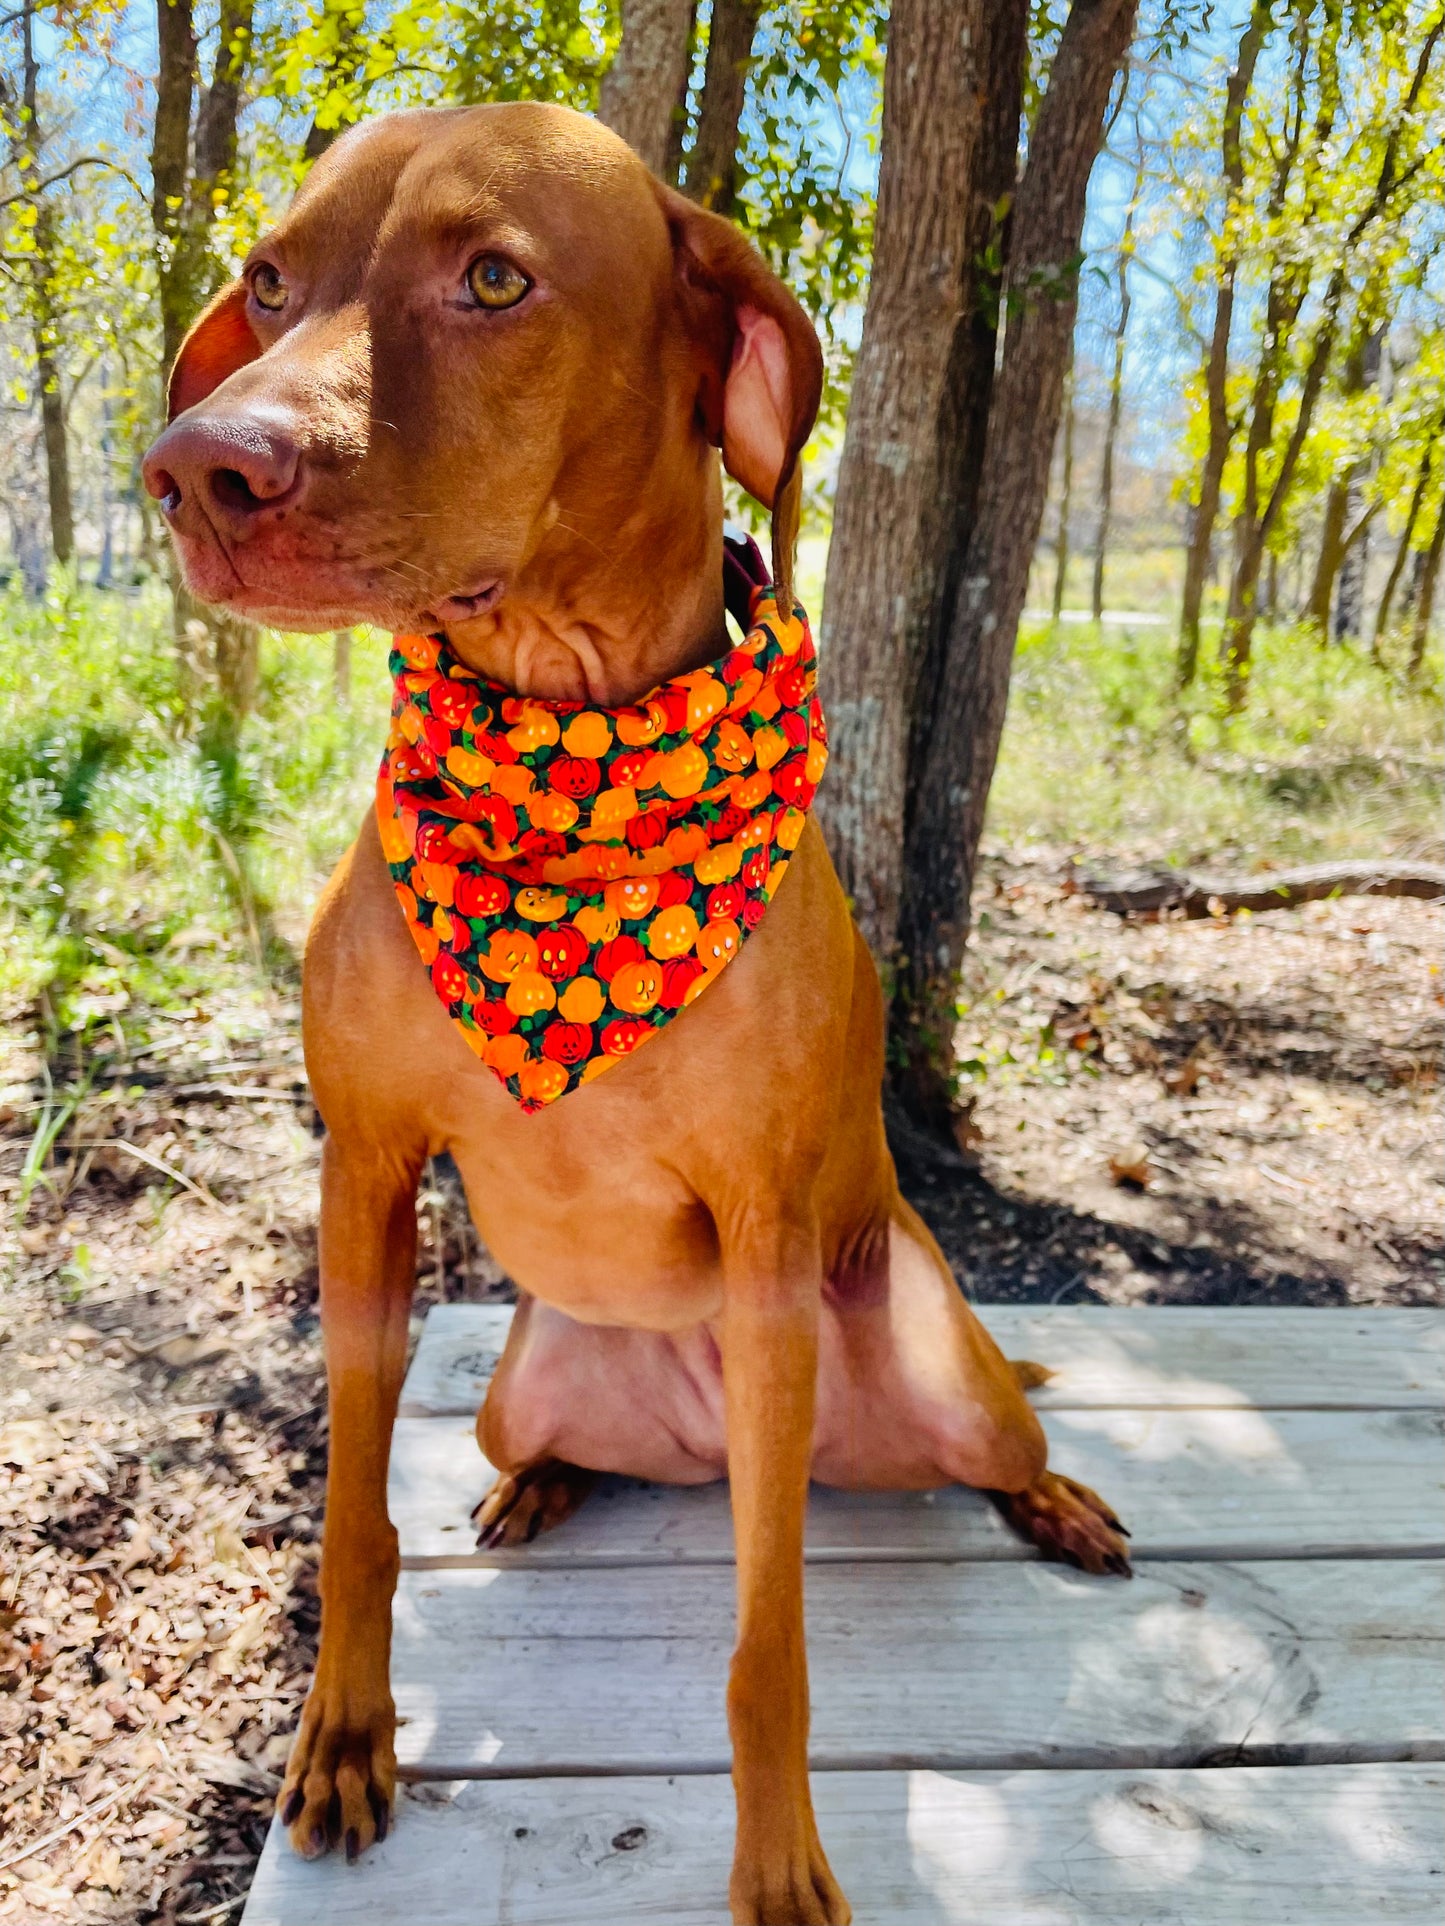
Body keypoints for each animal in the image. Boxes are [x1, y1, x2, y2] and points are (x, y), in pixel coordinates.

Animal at [141, 105, 1125, 1926]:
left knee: (993, 1445)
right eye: (270, 277)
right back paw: (541, 1477)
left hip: (920, 1359)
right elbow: (355, 1519)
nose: (197, 468)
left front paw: (779, 1857)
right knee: (550, 1444)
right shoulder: (361, 1175)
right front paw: (345, 1730)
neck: (570, 769)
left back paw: (1060, 1499)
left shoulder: (762, 1234)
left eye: (494, 280)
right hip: (520, 1379)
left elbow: (766, 1646)